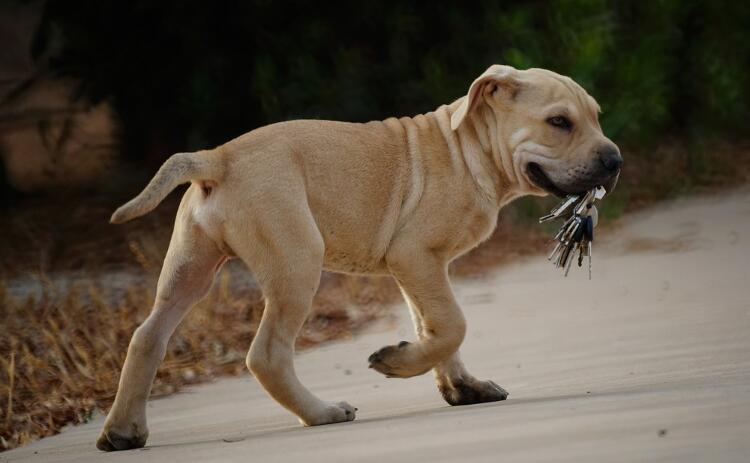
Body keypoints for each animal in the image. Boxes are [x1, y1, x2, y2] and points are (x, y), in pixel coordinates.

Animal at [95, 66, 624, 454]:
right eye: (559, 122)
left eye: (596, 117)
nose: (615, 160)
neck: (468, 149)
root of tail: (217, 158)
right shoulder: (416, 257)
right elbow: (453, 325)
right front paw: (397, 363)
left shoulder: (421, 269)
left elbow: (437, 328)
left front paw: (460, 387)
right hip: (297, 263)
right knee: (266, 354)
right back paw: (322, 413)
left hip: (191, 267)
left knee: (148, 337)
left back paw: (122, 433)